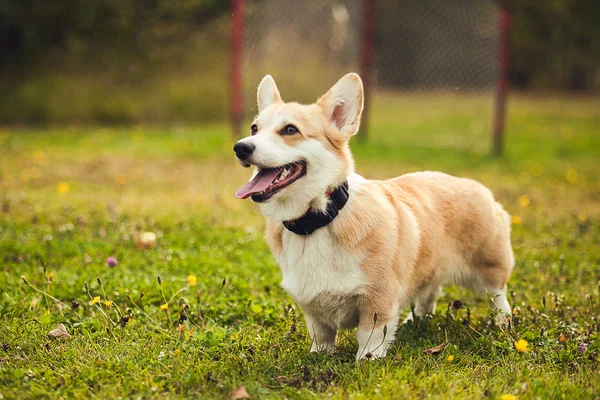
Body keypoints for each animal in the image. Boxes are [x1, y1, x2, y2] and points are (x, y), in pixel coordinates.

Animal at [234, 73, 516, 360]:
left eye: (290, 130)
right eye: (254, 128)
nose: (240, 147)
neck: (319, 219)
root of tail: (479, 187)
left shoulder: (378, 299)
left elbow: (369, 337)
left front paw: (366, 361)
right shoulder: (312, 308)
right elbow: (321, 335)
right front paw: (320, 356)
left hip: (489, 267)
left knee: (499, 296)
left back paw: (503, 325)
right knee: (428, 296)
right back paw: (415, 321)